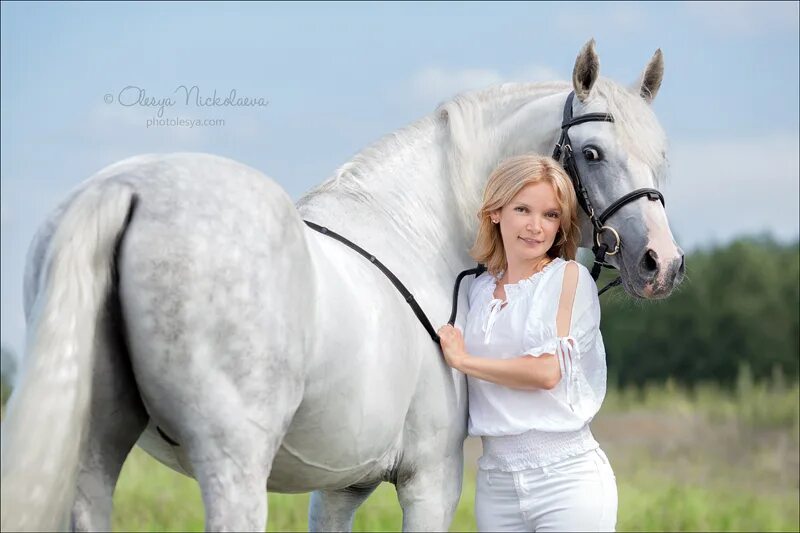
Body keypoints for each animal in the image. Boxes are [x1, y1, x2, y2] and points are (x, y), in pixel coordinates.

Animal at [3, 41, 684, 532]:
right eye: (591, 153)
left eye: (660, 156)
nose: (663, 264)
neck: (415, 229)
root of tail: (128, 191)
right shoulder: (430, 482)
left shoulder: (339, 487)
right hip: (231, 466)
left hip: (93, 459)